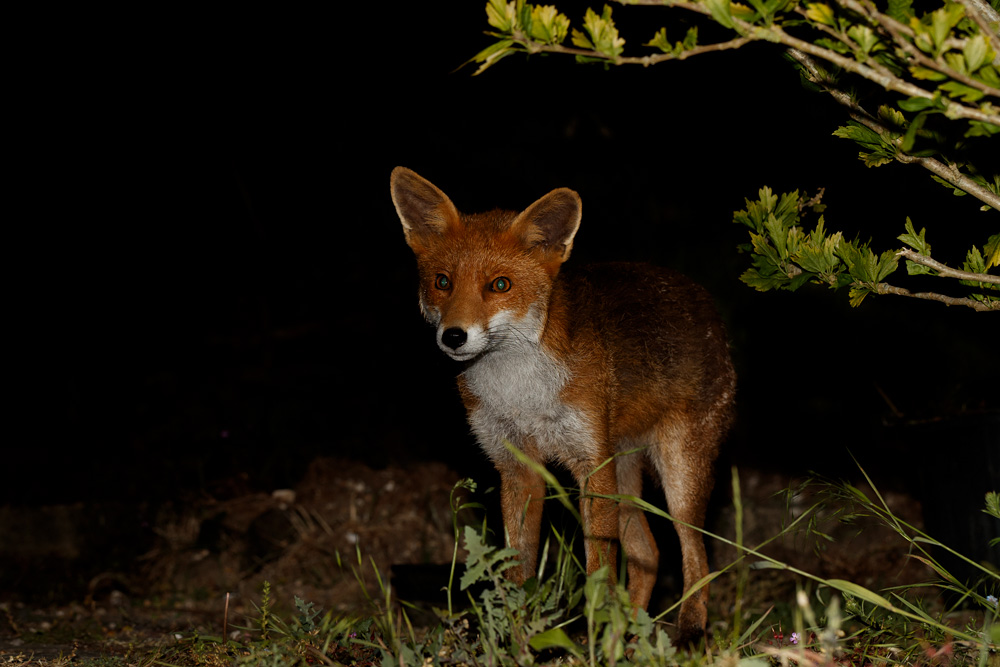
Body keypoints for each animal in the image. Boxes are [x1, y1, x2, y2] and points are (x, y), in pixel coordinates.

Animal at [389, 166, 736, 644]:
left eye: (500, 285)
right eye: (442, 282)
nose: (454, 337)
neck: (520, 390)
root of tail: (704, 301)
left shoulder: (590, 462)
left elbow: (599, 572)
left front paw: (589, 635)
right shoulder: (517, 467)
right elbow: (518, 570)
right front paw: (519, 640)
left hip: (679, 477)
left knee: (696, 556)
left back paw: (687, 633)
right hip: (625, 476)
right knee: (648, 554)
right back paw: (628, 638)